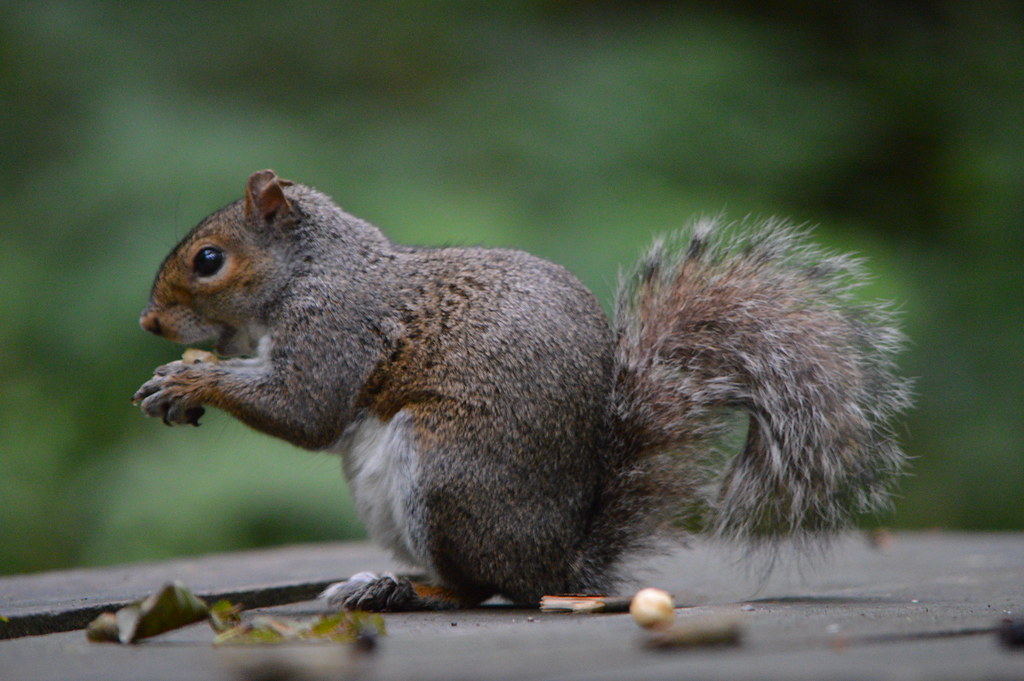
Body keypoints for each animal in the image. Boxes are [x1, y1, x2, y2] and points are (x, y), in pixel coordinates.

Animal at [133, 169, 911, 611]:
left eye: (209, 260)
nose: (150, 322)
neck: (312, 269)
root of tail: (560, 564)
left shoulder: (338, 326)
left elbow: (305, 408)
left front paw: (190, 376)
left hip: (444, 472)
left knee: (481, 585)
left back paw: (407, 588)